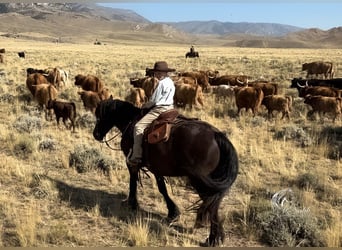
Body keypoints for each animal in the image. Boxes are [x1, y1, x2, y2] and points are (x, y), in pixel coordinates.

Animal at [92, 97, 239, 246]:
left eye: (99, 115)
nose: (96, 134)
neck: (130, 121)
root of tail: (215, 134)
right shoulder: (156, 167)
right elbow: (162, 188)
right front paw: (173, 212)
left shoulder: (131, 162)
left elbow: (134, 182)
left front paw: (132, 204)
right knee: (213, 203)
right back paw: (217, 236)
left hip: (200, 181)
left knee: (211, 205)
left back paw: (213, 238)